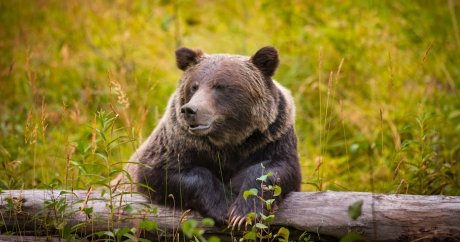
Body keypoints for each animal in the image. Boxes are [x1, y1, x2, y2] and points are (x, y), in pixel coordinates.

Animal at [114, 45, 302, 229]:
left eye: (220, 86)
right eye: (194, 86)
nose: (190, 110)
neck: (229, 141)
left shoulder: (270, 138)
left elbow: (275, 168)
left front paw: (242, 213)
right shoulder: (178, 142)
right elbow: (160, 171)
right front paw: (223, 206)